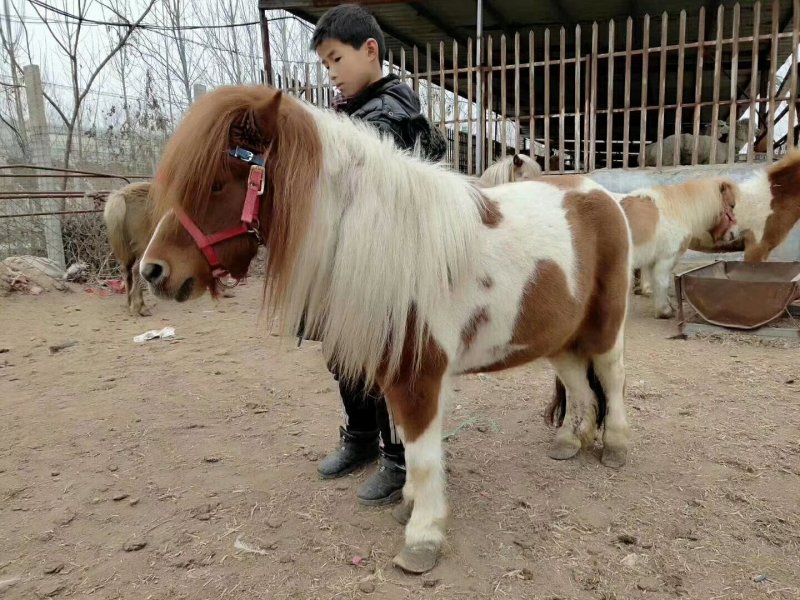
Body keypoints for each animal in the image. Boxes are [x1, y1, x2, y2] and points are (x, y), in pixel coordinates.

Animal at [103, 181, 153, 316]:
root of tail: (123, 195)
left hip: (129, 251)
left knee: (127, 271)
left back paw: (129, 303)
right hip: (143, 246)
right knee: (136, 270)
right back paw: (140, 307)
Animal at [137, 84, 632, 574]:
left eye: (219, 183)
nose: (153, 270)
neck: (395, 246)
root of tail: (597, 193)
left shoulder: (419, 377)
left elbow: (424, 455)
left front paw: (423, 538)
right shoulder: (393, 373)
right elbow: (406, 449)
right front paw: (409, 504)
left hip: (605, 325)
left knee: (610, 377)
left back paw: (615, 446)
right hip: (560, 334)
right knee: (579, 383)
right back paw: (570, 440)